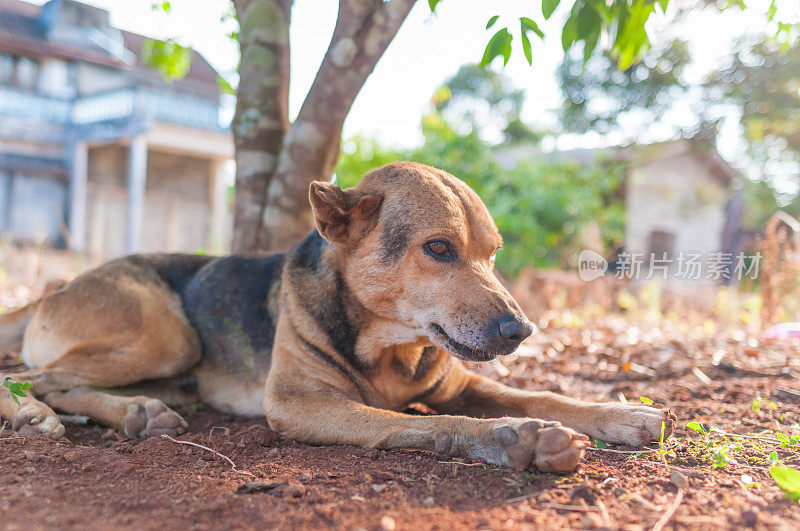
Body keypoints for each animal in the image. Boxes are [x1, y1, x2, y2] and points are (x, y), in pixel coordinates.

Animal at [0, 162, 672, 474]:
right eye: (438, 248)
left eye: (493, 253)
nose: (521, 330)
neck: (391, 346)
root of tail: (58, 287)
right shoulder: (301, 404)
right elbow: (412, 424)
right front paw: (513, 437)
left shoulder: (460, 382)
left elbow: (541, 393)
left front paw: (621, 414)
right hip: (166, 335)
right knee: (34, 378)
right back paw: (36, 417)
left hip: (172, 366)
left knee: (66, 383)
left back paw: (137, 412)